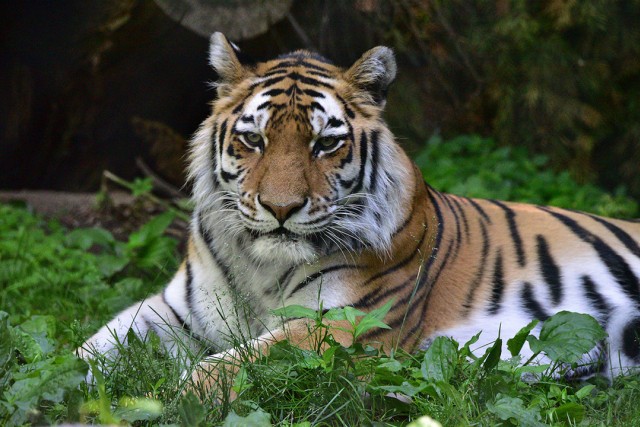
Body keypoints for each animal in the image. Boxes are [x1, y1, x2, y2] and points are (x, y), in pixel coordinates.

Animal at [79, 32, 640, 394]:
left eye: (326, 143)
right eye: (253, 139)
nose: (281, 208)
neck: (262, 267)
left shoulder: (343, 325)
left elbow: (231, 365)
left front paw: (175, 400)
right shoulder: (174, 312)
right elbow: (91, 349)